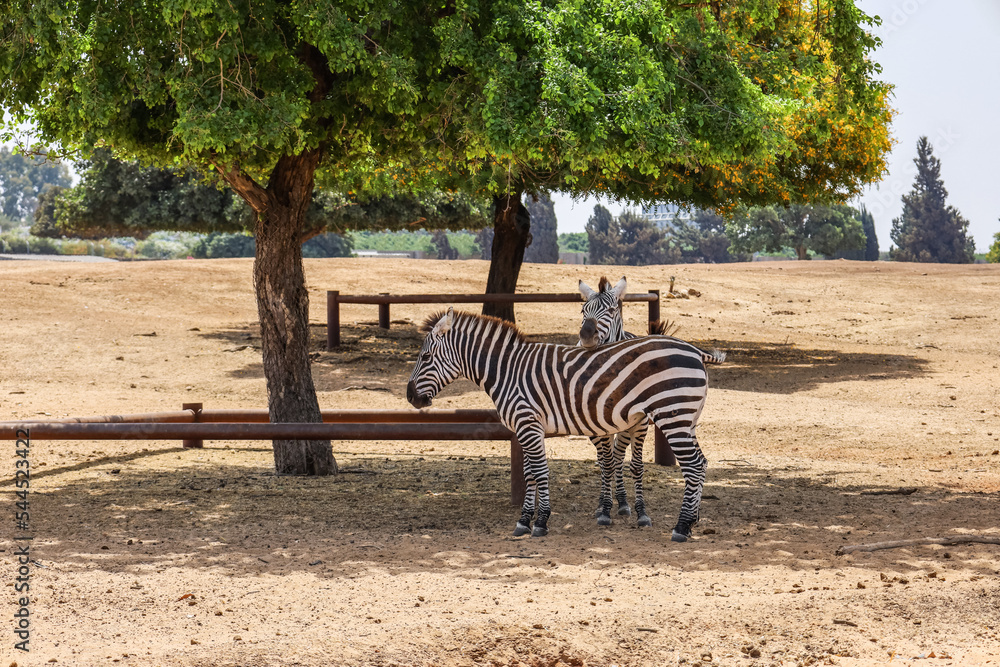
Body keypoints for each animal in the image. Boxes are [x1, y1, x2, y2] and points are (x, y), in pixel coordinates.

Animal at [404, 308, 712, 544]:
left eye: (426, 357)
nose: (409, 396)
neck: (507, 372)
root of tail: (693, 349)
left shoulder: (527, 423)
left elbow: (540, 472)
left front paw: (540, 522)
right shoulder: (527, 428)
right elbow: (529, 474)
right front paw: (524, 521)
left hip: (672, 415)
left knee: (693, 465)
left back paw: (681, 527)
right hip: (688, 419)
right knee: (702, 462)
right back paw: (693, 521)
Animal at [580, 276, 728, 532]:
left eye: (612, 310)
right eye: (582, 310)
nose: (586, 336)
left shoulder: (639, 424)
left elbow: (635, 465)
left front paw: (641, 513)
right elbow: (605, 463)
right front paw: (604, 509)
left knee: (618, 456)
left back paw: (624, 503)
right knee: (606, 459)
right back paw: (606, 503)